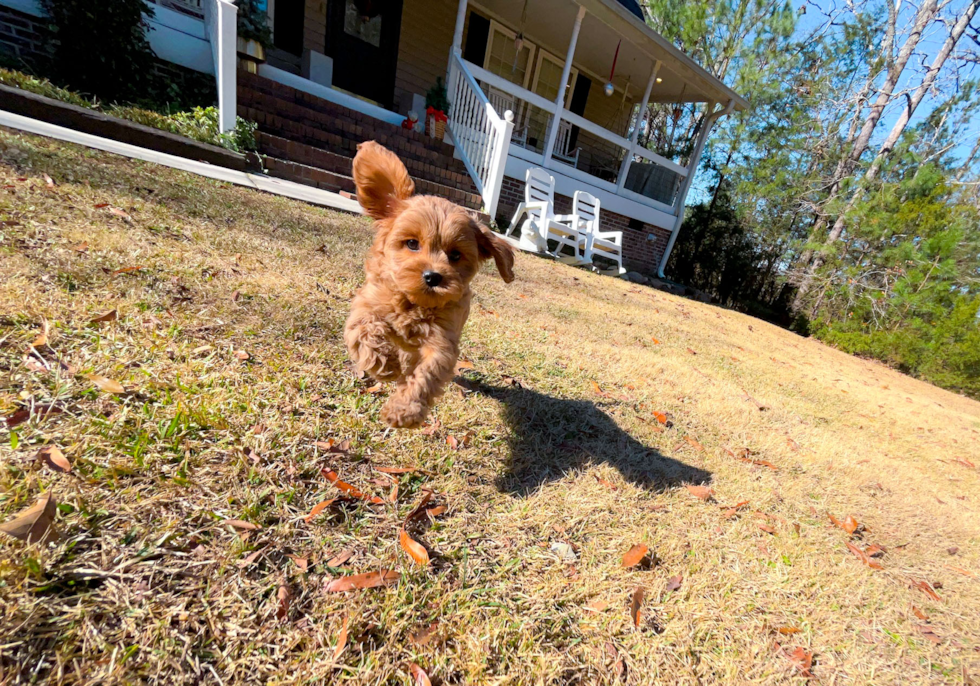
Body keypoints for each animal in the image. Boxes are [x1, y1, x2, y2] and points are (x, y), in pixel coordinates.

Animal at [342, 141, 516, 430]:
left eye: (455, 255)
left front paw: (404, 410)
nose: (433, 277)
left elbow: (427, 373)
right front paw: (385, 365)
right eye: (412, 243)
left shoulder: (442, 342)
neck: (414, 303)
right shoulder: (367, 305)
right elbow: (365, 330)